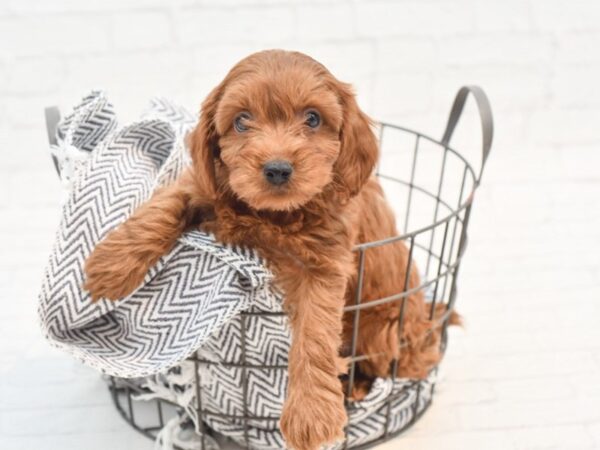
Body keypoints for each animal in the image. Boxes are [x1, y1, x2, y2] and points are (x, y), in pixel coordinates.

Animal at [85, 49, 450, 450]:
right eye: (242, 120)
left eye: (313, 118)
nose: (277, 169)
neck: (274, 215)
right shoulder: (208, 184)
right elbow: (169, 202)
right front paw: (111, 264)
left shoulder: (325, 262)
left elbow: (315, 331)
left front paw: (311, 413)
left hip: (381, 326)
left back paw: (355, 389)